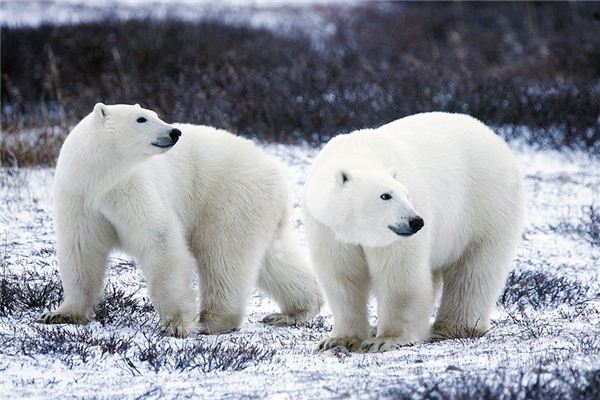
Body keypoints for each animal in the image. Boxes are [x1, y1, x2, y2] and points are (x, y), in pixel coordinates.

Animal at [36, 102, 324, 334]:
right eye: (141, 118)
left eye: (155, 114)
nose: (174, 132)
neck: (99, 178)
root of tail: (277, 171)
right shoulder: (79, 197)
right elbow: (81, 250)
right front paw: (60, 314)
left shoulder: (131, 188)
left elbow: (159, 238)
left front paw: (176, 324)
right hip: (259, 208)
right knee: (273, 258)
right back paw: (294, 311)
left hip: (230, 197)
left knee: (222, 255)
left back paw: (212, 321)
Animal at [308, 112, 524, 354]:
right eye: (385, 195)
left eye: (407, 194)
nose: (416, 221)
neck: (358, 152)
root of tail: (494, 137)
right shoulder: (328, 229)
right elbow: (342, 277)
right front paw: (338, 340)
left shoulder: (395, 238)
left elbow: (400, 275)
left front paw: (385, 339)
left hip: (486, 205)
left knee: (474, 270)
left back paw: (453, 328)